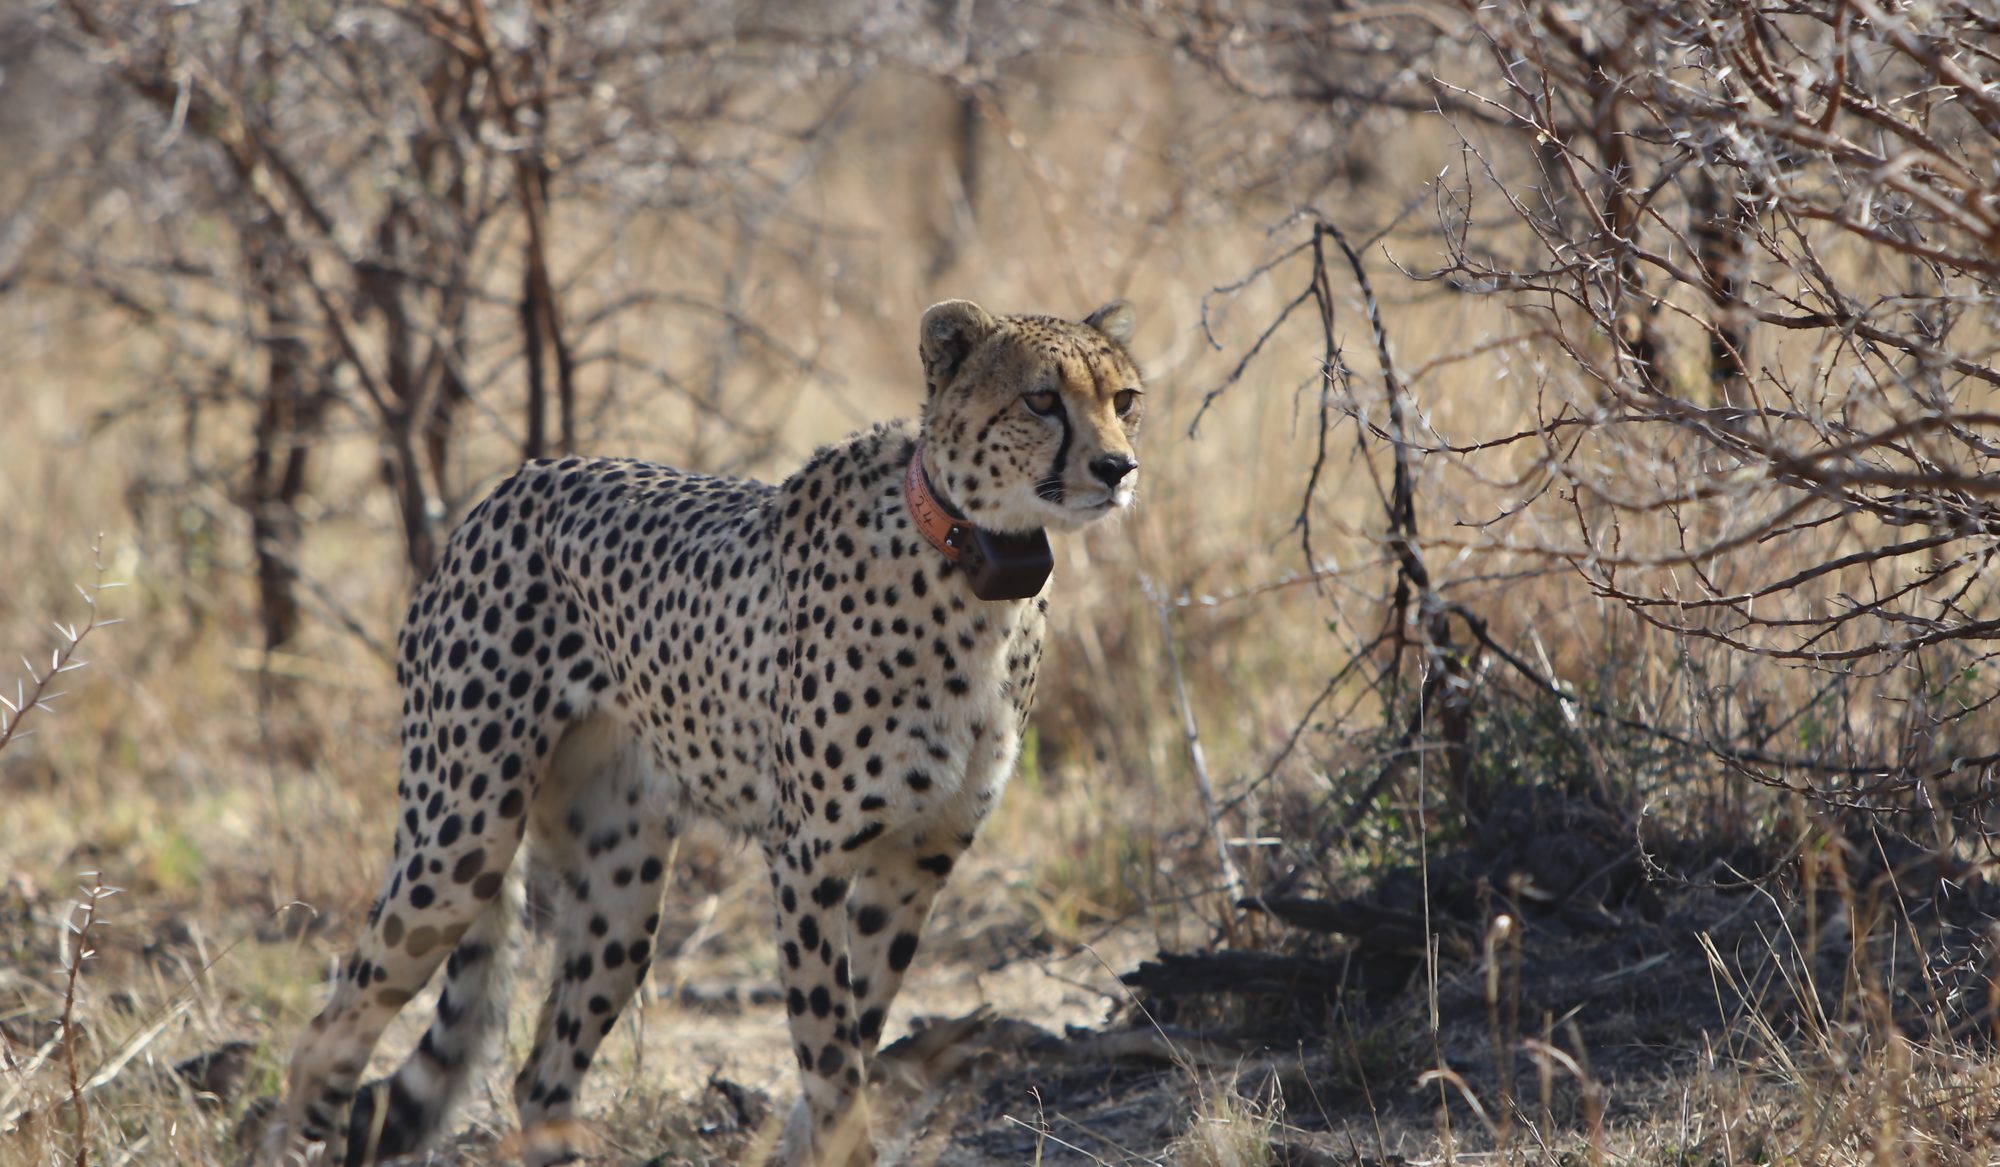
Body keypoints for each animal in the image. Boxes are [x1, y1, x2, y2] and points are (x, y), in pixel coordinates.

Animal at [262, 297, 1144, 1166]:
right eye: (1041, 399)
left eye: (1124, 399)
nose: (1118, 468)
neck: (973, 566)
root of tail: (509, 486)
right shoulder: (809, 856)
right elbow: (830, 1052)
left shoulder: (917, 859)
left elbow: (860, 1024)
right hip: (461, 840)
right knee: (325, 1036)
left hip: (620, 892)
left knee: (540, 1073)